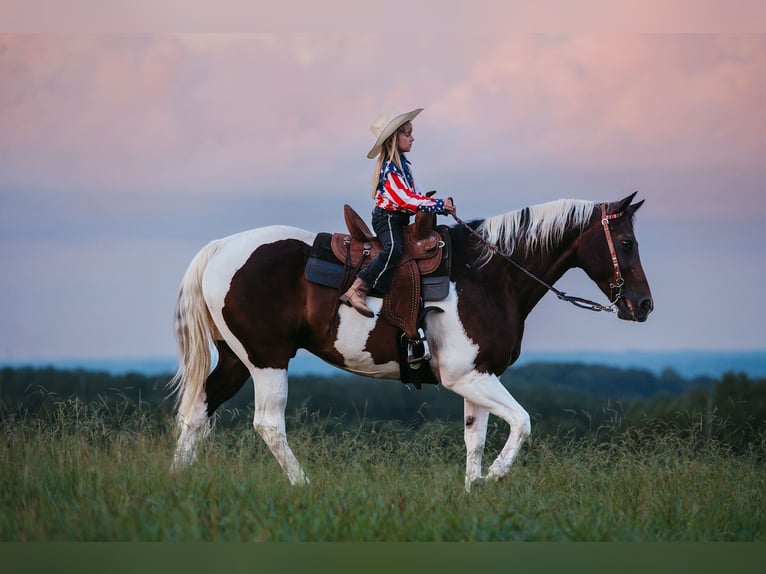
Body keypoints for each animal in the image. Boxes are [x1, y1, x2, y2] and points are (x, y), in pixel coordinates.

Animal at [168, 192, 656, 490]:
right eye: (627, 242)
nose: (643, 305)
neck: (489, 276)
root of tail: (219, 249)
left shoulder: (479, 378)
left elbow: (475, 440)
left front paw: (473, 491)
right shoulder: (466, 377)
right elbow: (522, 422)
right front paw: (493, 479)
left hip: (236, 360)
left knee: (197, 412)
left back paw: (177, 480)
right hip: (267, 360)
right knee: (268, 424)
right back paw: (304, 485)